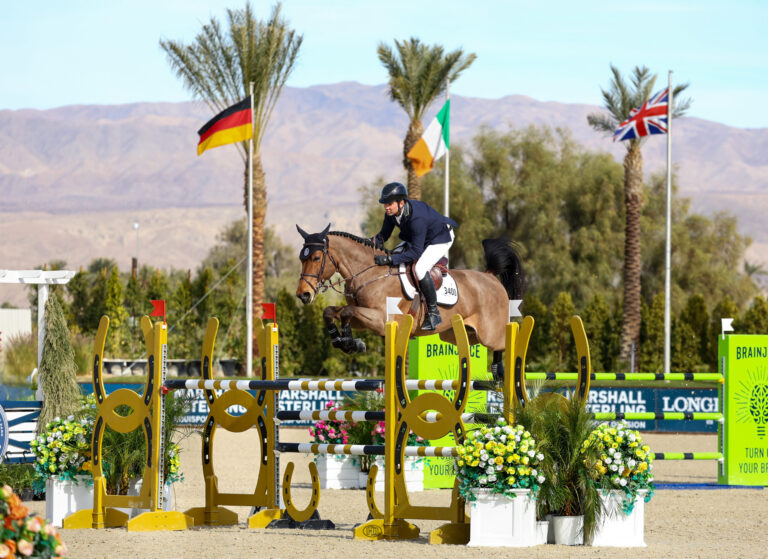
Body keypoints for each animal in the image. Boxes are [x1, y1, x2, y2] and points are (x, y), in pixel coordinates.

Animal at [294, 225, 520, 378]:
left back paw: (499, 372)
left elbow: (346, 312)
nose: (303, 294)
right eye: (301, 258)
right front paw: (344, 341)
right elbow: (333, 311)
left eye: (316, 258)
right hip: (459, 334)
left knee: (504, 343)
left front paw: (350, 342)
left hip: (489, 334)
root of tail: (491, 277)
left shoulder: (380, 319)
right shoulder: (363, 316)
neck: (370, 273)